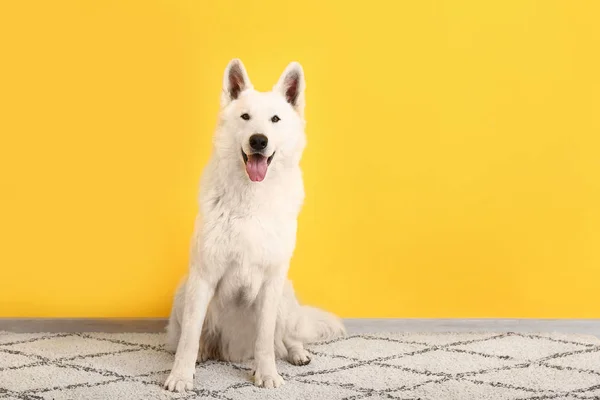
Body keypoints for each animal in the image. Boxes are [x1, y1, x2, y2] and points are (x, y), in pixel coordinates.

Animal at [163, 58, 346, 390]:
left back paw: (297, 354)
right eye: (245, 117)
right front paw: (181, 376)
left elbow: (265, 339)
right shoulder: (203, 275)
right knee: (196, 337)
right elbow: (189, 338)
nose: (258, 140)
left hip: (285, 294)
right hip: (184, 290)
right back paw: (204, 353)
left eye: (275, 119)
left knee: (283, 339)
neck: (251, 198)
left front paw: (267, 374)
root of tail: (234, 352)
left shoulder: (272, 281)